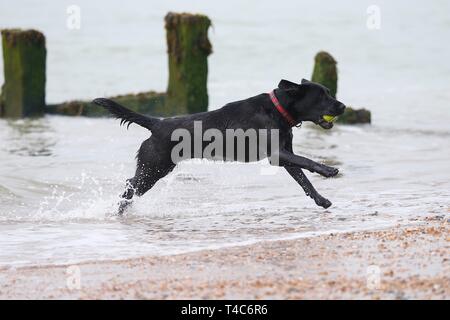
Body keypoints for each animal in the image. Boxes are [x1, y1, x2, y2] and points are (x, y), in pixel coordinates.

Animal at [93, 78, 346, 214]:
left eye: (329, 92)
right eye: (322, 96)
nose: (343, 106)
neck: (277, 110)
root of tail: (156, 123)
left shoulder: (284, 156)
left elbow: (304, 181)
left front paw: (321, 200)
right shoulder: (277, 154)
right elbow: (306, 160)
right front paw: (328, 170)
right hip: (154, 168)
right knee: (130, 186)